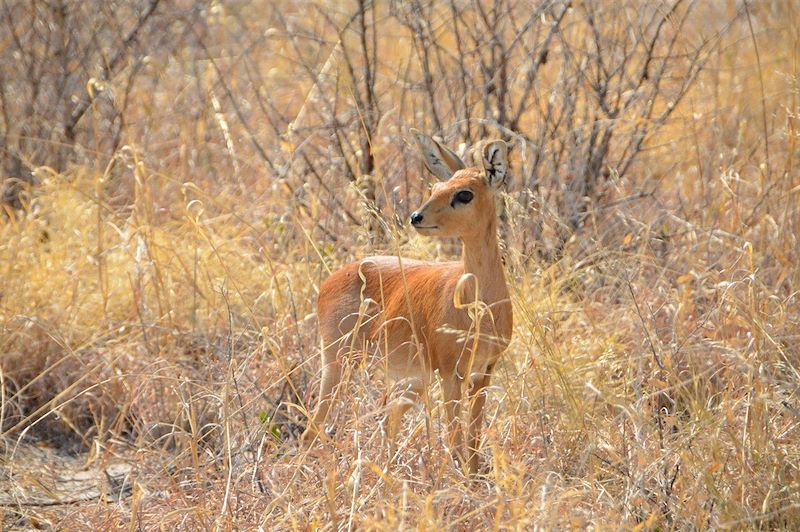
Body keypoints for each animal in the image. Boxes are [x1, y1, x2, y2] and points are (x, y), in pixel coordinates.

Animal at [300, 129, 512, 474]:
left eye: (464, 194)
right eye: (436, 187)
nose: (416, 216)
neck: (478, 306)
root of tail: (331, 280)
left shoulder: (483, 371)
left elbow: (472, 443)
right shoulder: (451, 372)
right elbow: (455, 441)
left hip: (410, 379)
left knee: (389, 415)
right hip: (339, 362)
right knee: (312, 428)